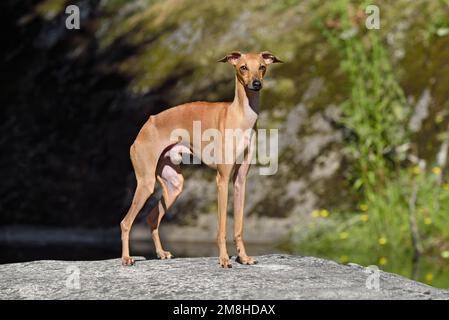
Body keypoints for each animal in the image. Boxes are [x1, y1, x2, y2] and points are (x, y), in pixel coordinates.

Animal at [119, 50, 280, 268]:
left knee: (152, 218)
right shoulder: (222, 179)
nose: (256, 84)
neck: (239, 116)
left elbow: (239, 226)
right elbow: (221, 227)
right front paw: (224, 259)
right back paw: (126, 258)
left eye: (262, 66)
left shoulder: (240, 180)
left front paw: (244, 257)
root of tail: (145, 126)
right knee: (125, 222)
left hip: (174, 184)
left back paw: (161, 253)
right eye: (243, 67)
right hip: (146, 182)